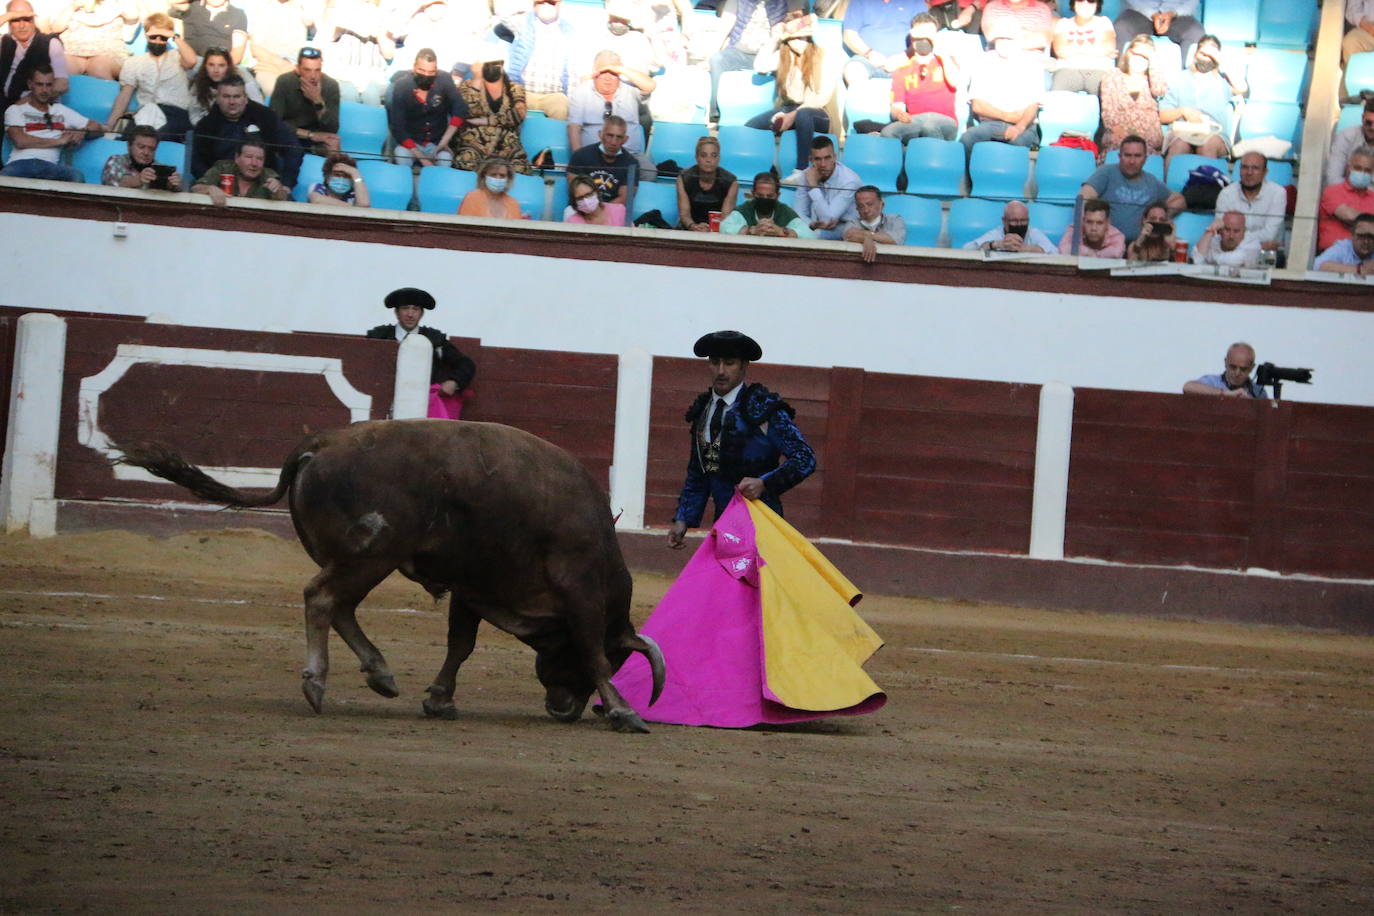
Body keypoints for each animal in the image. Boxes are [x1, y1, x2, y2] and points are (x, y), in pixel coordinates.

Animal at [118, 420, 665, 730]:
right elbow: (591, 649)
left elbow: (460, 645)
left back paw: (380, 674)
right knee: (322, 599)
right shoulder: (580, 593)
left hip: (362, 558)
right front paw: (624, 712)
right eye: (622, 659)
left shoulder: (473, 587)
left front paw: (439, 701)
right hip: (370, 554)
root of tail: (320, 443)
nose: (564, 709)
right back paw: (317, 684)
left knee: (340, 606)